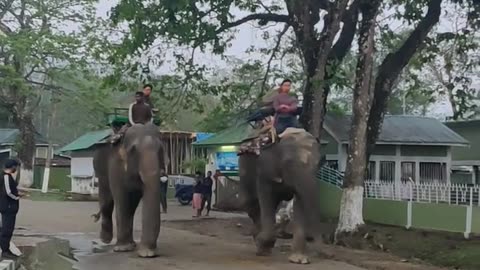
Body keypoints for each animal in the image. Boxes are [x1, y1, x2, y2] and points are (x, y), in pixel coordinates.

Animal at [93, 123, 168, 258]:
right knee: (107, 199)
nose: (150, 253)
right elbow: (122, 198)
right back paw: (105, 240)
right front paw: (123, 249)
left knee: (131, 205)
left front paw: (146, 253)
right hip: (99, 168)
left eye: (160, 150)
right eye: (134, 150)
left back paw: (130, 244)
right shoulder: (115, 164)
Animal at [238, 131, 320, 264]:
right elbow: (266, 199)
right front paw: (263, 244)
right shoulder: (264, 171)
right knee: (250, 203)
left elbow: (299, 203)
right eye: (288, 162)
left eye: (318, 164)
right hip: (244, 166)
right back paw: (259, 241)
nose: (321, 253)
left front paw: (299, 260)